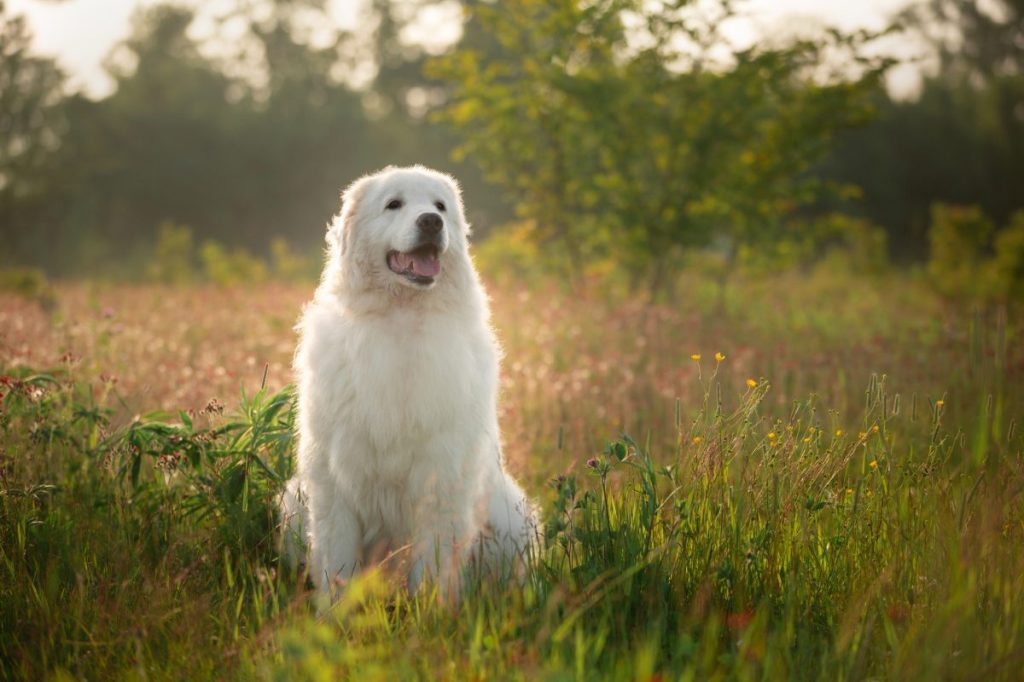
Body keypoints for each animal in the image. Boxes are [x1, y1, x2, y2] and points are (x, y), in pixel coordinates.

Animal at [280, 163, 536, 593]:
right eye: (393, 204)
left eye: (440, 206)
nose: (431, 221)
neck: (400, 316)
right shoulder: (334, 479)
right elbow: (337, 564)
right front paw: (335, 610)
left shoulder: (441, 477)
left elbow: (433, 567)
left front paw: (430, 609)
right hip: (294, 502)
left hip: (512, 517)